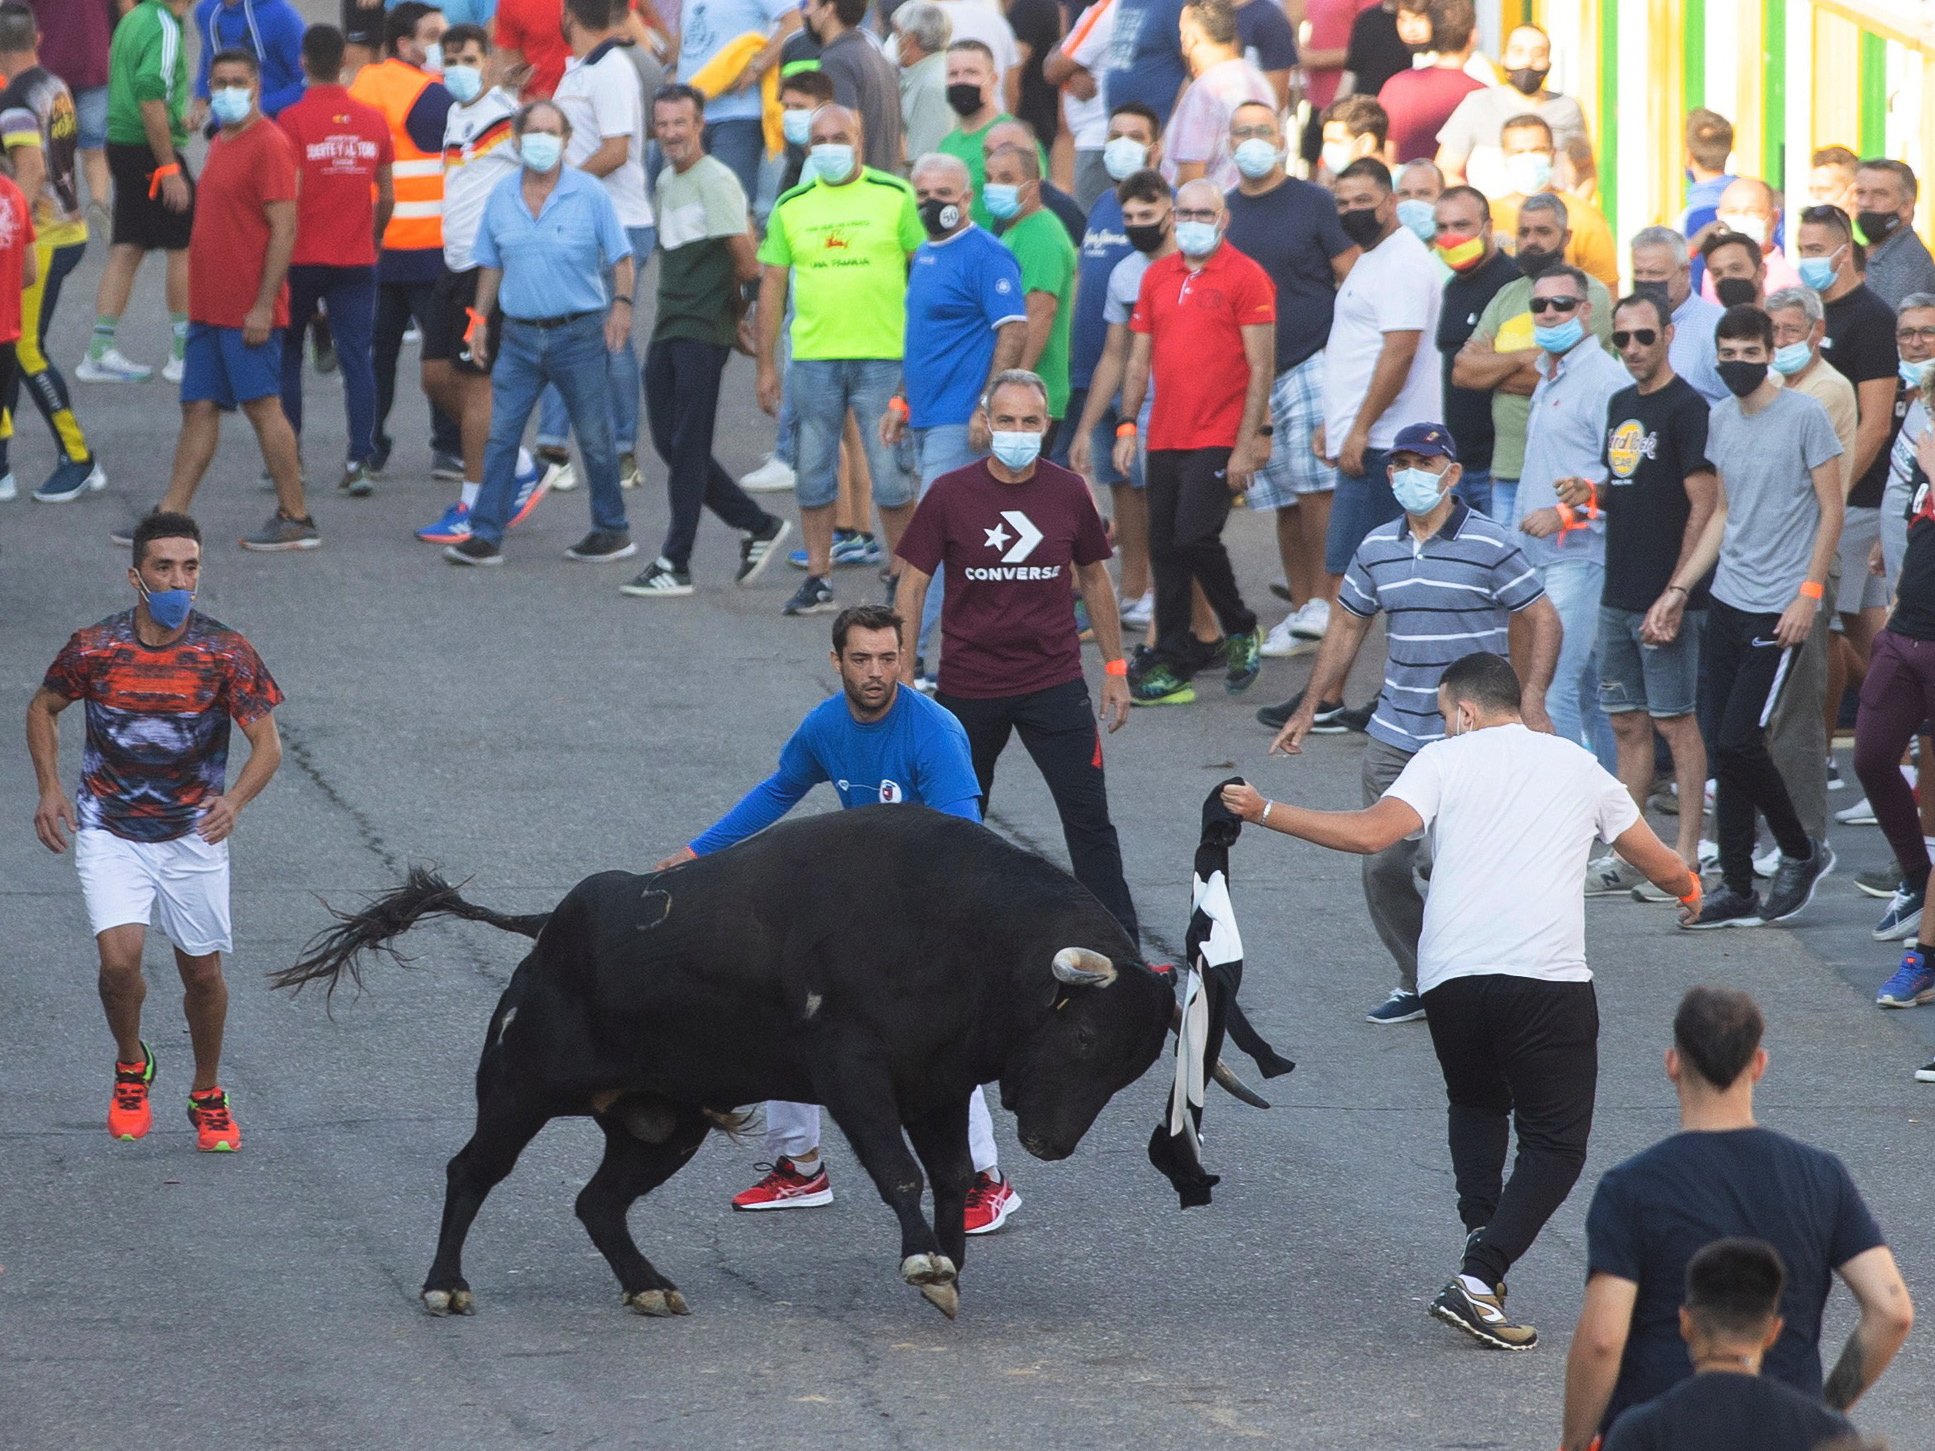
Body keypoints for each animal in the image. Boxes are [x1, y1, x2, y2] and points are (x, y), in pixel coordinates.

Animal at [272, 812, 1176, 1323]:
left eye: (1130, 1070)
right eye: (1085, 1041)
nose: (1053, 1142)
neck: (962, 932)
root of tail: (549, 928)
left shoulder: (938, 1087)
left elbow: (952, 1176)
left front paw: (946, 1269)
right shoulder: (852, 1072)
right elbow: (902, 1173)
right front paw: (926, 1262)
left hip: (661, 1124)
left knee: (598, 1201)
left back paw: (648, 1286)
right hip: (518, 1089)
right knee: (471, 1170)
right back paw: (445, 1286)